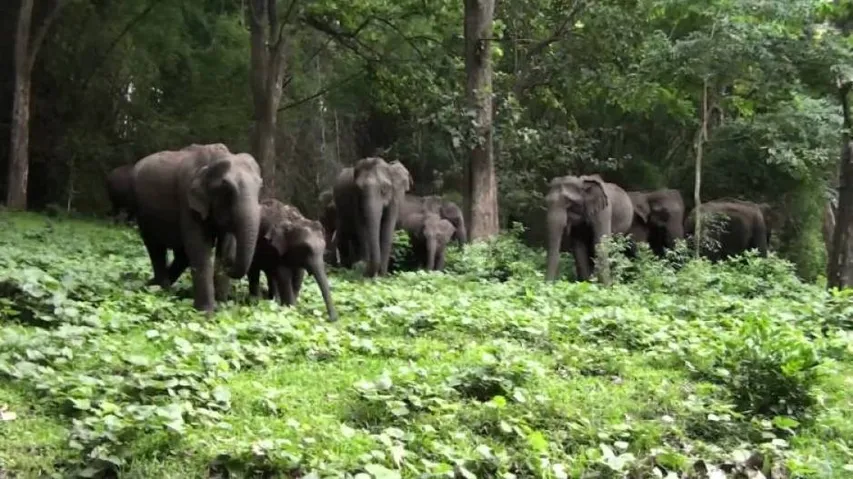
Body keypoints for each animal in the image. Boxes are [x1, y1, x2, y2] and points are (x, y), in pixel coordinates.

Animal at [131, 142, 262, 313]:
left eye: (260, 186)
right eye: (226, 188)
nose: (229, 265)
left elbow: (226, 245)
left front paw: (222, 307)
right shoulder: (187, 200)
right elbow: (198, 247)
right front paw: (206, 313)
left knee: (182, 255)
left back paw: (154, 286)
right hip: (142, 212)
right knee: (155, 247)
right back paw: (161, 291)